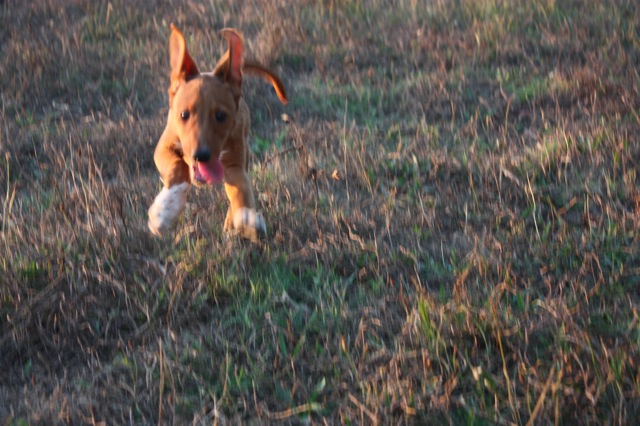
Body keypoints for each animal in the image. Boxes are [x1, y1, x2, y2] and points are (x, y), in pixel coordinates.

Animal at [148, 25, 288, 241]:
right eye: (184, 114)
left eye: (221, 115)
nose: (201, 155)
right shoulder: (164, 145)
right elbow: (177, 166)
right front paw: (165, 210)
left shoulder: (234, 161)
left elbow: (241, 189)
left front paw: (247, 219)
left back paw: (232, 223)